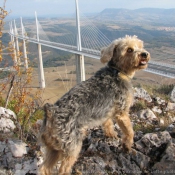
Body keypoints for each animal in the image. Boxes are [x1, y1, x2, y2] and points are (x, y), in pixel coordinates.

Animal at [39, 34, 150, 174]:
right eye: (129, 50)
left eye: (140, 46)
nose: (144, 54)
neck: (117, 71)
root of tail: (51, 113)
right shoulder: (122, 113)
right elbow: (130, 131)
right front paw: (127, 146)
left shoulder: (106, 112)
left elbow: (108, 124)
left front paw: (111, 135)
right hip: (72, 147)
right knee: (63, 170)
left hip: (54, 148)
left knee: (44, 168)